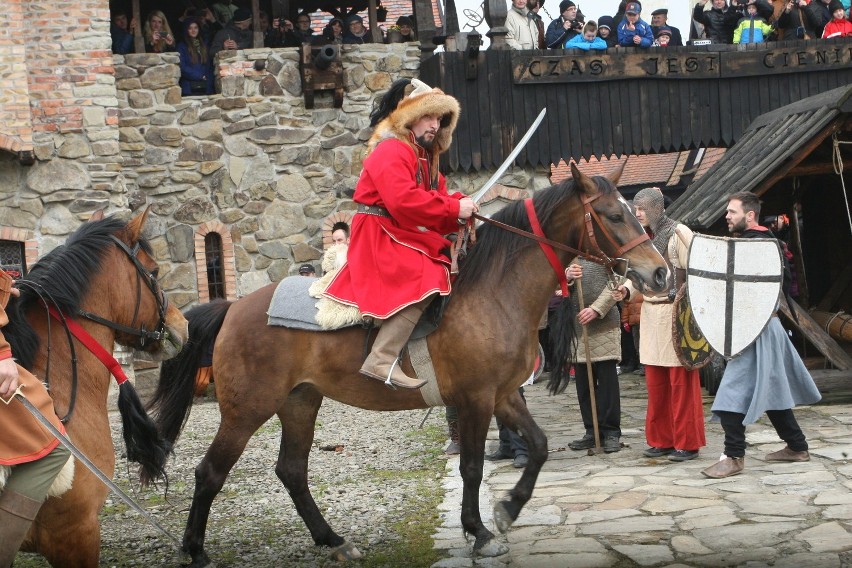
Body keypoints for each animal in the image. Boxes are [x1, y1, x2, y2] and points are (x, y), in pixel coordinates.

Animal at [150, 163, 672, 564]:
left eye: (632, 212)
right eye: (612, 215)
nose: (660, 273)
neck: (495, 291)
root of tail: (233, 308)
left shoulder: (504, 394)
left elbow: (540, 447)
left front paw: (508, 509)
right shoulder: (477, 399)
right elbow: (472, 467)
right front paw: (479, 531)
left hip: (300, 402)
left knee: (292, 472)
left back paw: (333, 540)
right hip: (247, 410)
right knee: (210, 473)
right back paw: (194, 550)